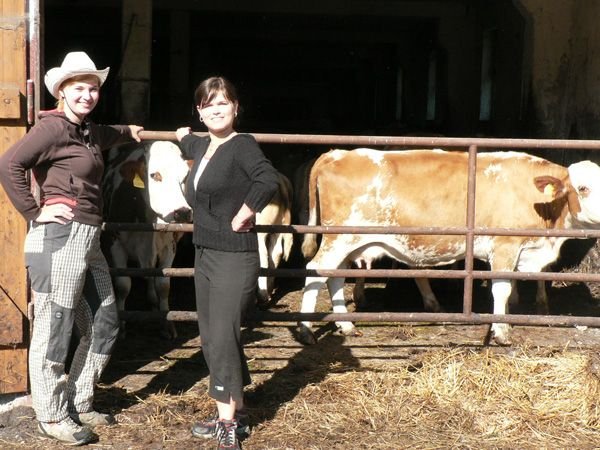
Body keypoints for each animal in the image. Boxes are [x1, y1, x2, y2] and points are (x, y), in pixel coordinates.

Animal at [102, 140, 192, 339]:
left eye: (185, 176)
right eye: (155, 175)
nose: (182, 212)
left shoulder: (169, 247)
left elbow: (163, 284)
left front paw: (167, 324)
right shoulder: (114, 242)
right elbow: (123, 284)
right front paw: (121, 326)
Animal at [298, 148, 600, 345]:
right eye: (583, 188)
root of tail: (337, 153)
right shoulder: (504, 246)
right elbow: (501, 289)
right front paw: (501, 332)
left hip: (345, 242)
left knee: (334, 277)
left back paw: (346, 325)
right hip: (340, 238)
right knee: (315, 270)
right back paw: (305, 330)